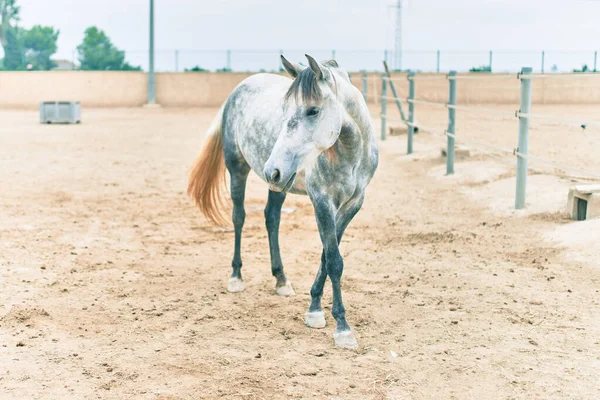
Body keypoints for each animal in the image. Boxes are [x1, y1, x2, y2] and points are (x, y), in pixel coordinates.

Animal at [188, 54, 378, 348]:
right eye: (285, 109)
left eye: (313, 110)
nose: (271, 170)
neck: (349, 154)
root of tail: (238, 89)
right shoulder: (321, 201)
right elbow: (334, 260)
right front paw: (342, 328)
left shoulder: (352, 204)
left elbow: (327, 255)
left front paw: (314, 309)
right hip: (239, 169)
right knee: (239, 217)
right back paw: (236, 277)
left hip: (279, 184)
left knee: (272, 218)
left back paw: (281, 280)